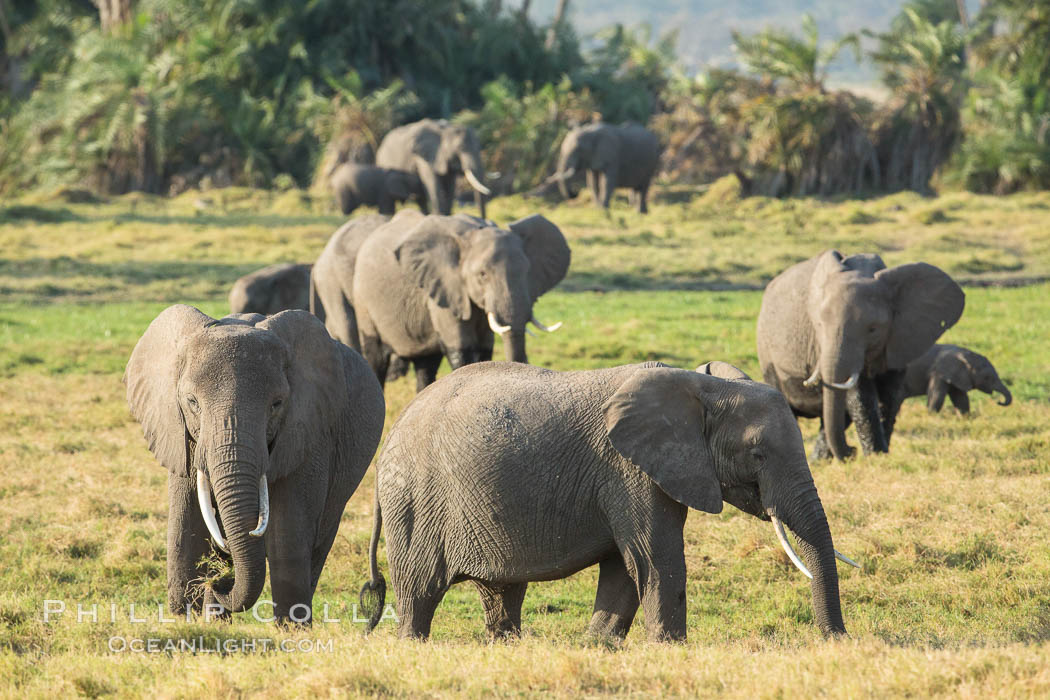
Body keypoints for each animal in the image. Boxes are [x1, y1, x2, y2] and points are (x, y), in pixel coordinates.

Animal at [123, 306, 386, 625]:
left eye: (277, 404)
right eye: (192, 402)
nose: (220, 582)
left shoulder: (310, 432)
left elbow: (288, 530)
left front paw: (291, 629)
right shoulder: (180, 434)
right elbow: (187, 529)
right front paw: (185, 621)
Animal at [352, 210, 571, 392]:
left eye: (527, 271)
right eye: (482, 275)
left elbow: (484, 348)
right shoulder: (446, 288)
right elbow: (460, 348)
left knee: (426, 365)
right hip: (363, 300)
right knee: (376, 357)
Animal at [361, 361, 852, 642]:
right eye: (758, 454)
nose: (839, 641)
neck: (705, 388)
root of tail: (395, 428)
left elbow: (624, 566)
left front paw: (598, 647)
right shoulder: (628, 469)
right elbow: (654, 558)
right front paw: (668, 648)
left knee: (502, 593)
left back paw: (506, 646)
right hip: (415, 502)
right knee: (419, 590)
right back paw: (412, 645)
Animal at [755, 250, 965, 459]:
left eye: (872, 329)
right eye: (819, 325)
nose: (852, 451)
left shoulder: (898, 338)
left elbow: (891, 392)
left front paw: (880, 454)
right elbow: (859, 395)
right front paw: (875, 455)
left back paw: (820, 459)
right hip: (766, 351)